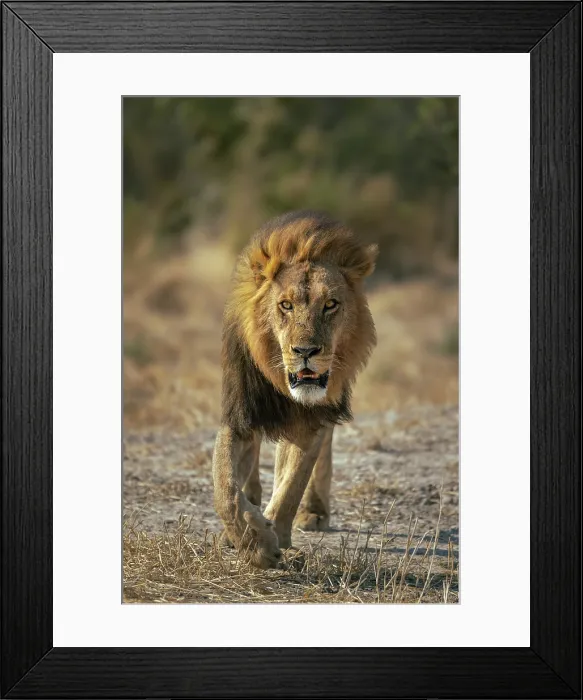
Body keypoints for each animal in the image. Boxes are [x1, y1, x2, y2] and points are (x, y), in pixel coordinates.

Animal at [212, 211, 377, 568]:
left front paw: (270, 540)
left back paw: (313, 511)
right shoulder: (240, 414)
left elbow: (291, 484)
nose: (305, 351)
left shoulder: (310, 421)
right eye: (285, 305)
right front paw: (251, 540)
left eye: (331, 304)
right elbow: (225, 488)